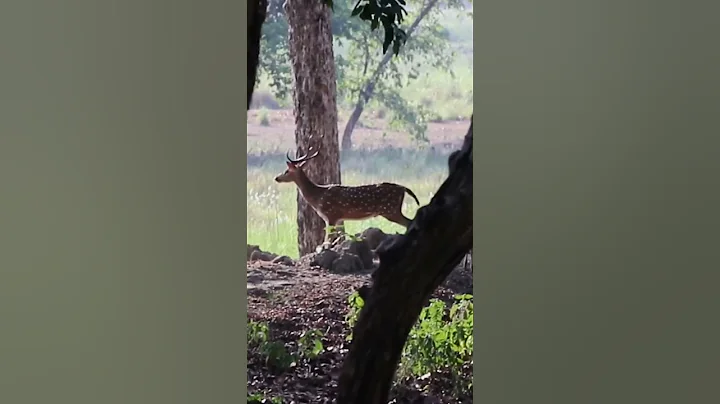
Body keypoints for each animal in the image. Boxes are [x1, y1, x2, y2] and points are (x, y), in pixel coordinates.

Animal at [274, 149, 421, 244]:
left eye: (287, 171)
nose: (276, 178)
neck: (318, 197)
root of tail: (403, 188)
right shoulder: (338, 218)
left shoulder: (331, 215)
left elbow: (328, 239)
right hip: (392, 210)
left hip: (390, 209)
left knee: (409, 222)